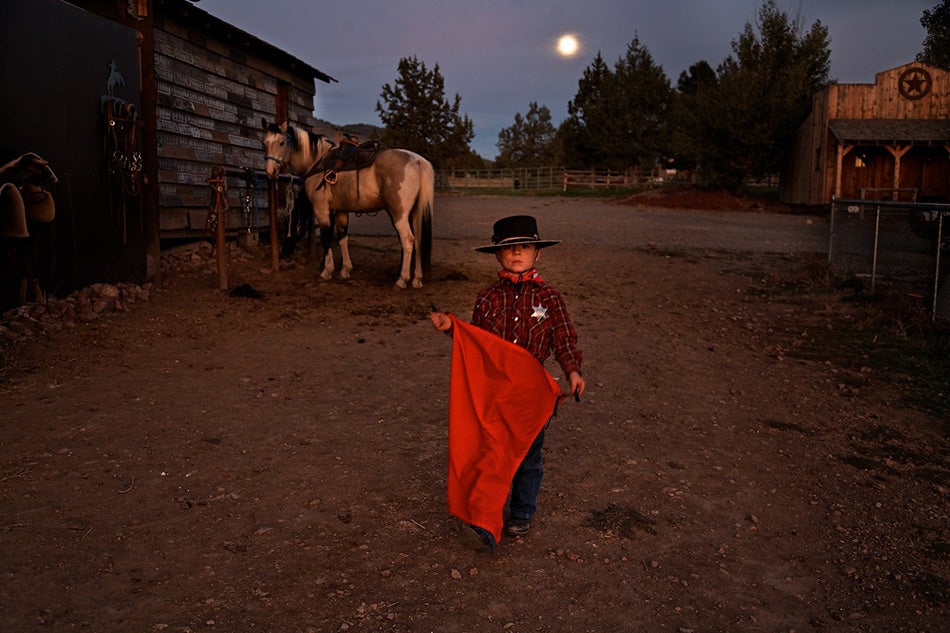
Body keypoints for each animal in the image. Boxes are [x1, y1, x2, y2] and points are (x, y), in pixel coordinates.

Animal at [264, 119, 436, 288]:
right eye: (265, 143)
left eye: (281, 142)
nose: (270, 172)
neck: (318, 161)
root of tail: (418, 161)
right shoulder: (340, 211)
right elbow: (342, 238)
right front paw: (345, 270)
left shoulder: (321, 209)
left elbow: (326, 237)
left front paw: (326, 271)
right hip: (415, 212)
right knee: (418, 240)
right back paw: (417, 279)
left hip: (399, 214)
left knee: (408, 240)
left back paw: (402, 280)